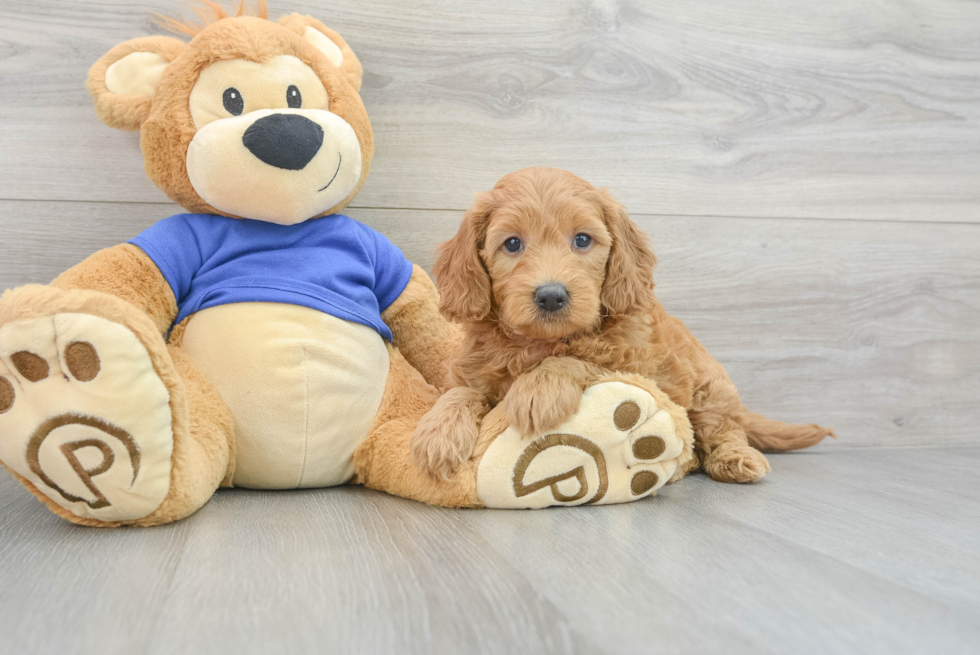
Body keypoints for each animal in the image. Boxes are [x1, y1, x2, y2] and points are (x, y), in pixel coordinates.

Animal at [414, 168, 836, 482]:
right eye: (513, 244)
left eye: (582, 240)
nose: (551, 296)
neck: (541, 342)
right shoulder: (473, 368)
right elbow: (461, 391)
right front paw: (438, 433)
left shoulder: (632, 365)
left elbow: (580, 361)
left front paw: (539, 388)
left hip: (709, 389)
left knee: (724, 429)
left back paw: (734, 459)